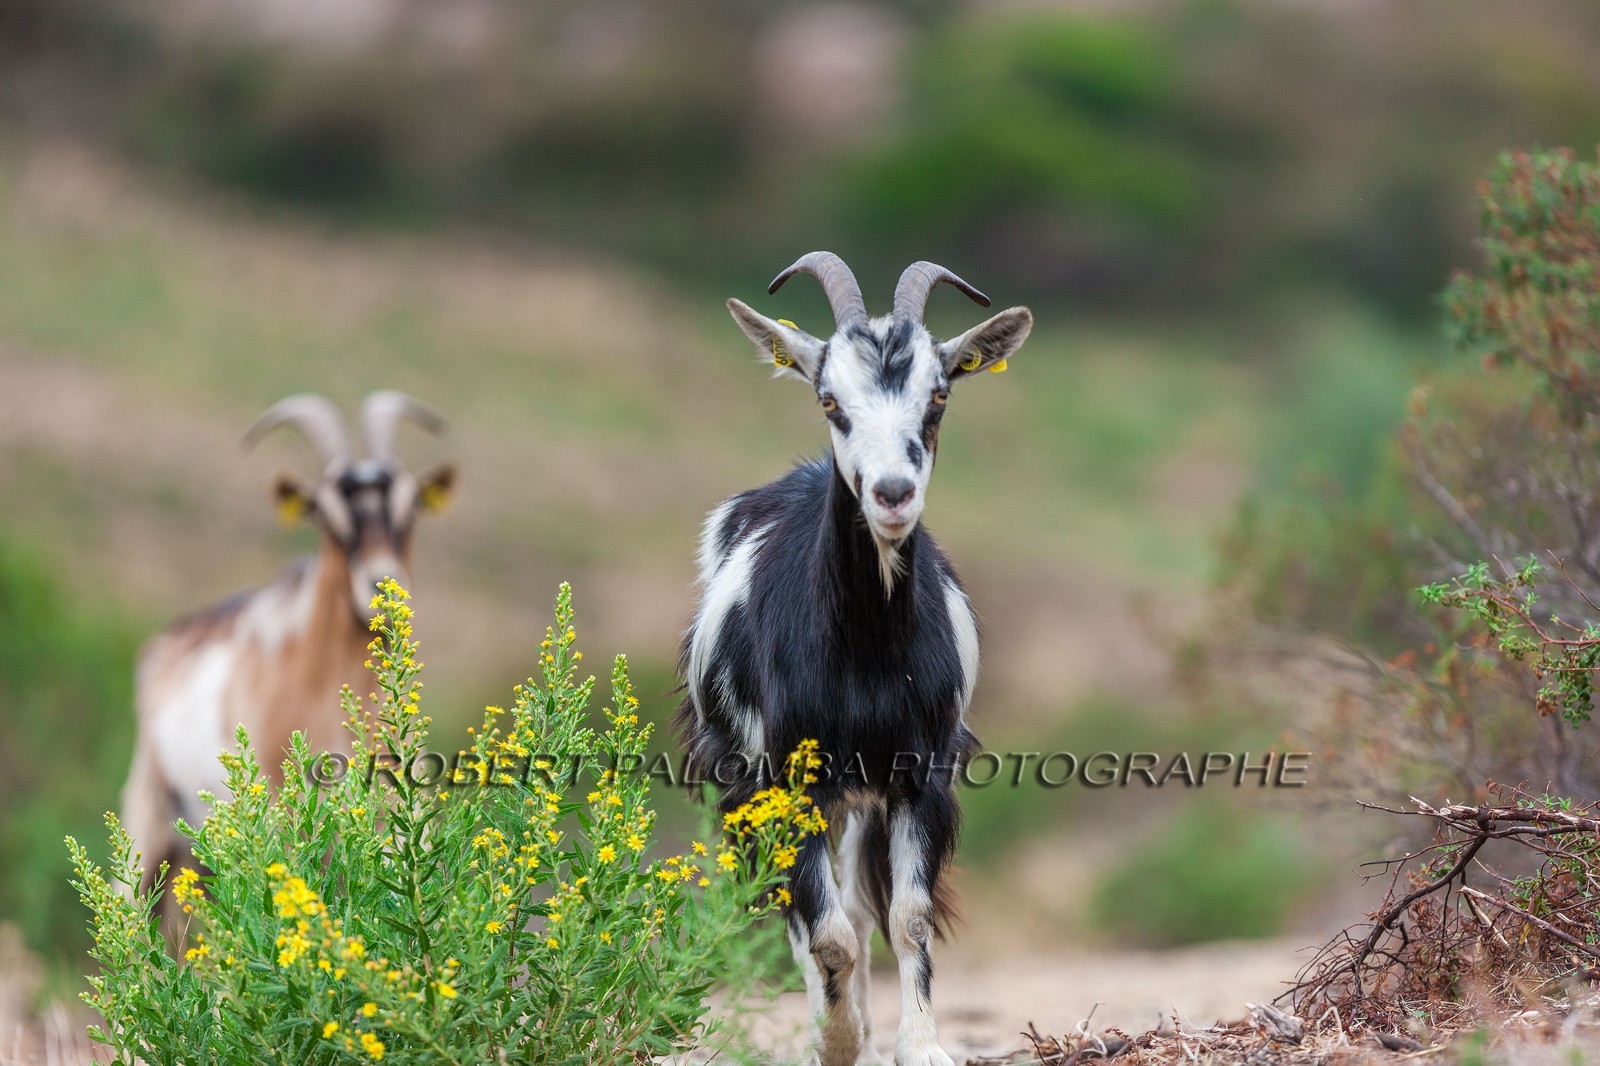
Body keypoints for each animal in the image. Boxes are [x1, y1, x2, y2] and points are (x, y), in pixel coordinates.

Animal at [677, 253, 1032, 1066]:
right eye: (829, 398)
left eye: (939, 395)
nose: (892, 493)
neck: (864, 654)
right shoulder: (784, 777)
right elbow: (825, 933)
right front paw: (836, 1044)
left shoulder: (919, 771)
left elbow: (907, 917)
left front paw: (920, 1047)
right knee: (807, 916)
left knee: (859, 906)